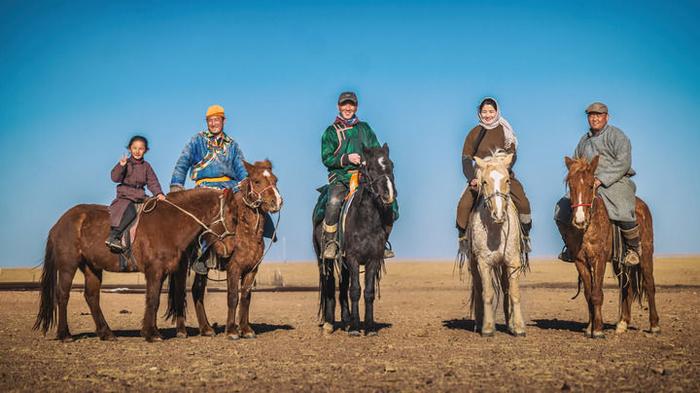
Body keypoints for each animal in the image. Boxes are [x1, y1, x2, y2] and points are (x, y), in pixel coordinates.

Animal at [32, 179, 241, 342]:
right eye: (233, 218)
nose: (231, 249)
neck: (170, 223)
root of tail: (60, 223)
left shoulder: (162, 272)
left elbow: (154, 299)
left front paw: (151, 331)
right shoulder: (154, 271)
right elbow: (153, 299)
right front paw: (151, 334)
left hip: (92, 267)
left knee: (91, 297)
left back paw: (106, 333)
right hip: (68, 266)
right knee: (62, 295)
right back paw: (64, 334)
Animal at [167, 160, 282, 340]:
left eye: (275, 180)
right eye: (257, 181)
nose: (276, 202)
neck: (245, 231)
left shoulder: (252, 269)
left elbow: (246, 297)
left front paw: (246, 330)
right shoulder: (234, 267)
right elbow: (233, 296)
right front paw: (232, 331)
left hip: (202, 268)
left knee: (197, 291)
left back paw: (206, 329)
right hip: (182, 265)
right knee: (180, 292)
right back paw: (181, 331)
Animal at [314, 142, 396, 336]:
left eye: (391, 165)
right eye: (370, 167)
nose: (389, 194)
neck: (365, 220)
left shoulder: (373, 259)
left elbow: (368, 292)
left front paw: (369, 327)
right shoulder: (352, 258)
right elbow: (356, 290)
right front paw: (356, 328)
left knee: (343, 286)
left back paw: (346, 320)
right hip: (325, 260)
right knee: (330, 285)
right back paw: (329, 323)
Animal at [560, 155, 660, 336]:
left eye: (591, 185)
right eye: (571, 186)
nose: (579, 220)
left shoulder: (599, 259)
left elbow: (597, 294)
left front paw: (598, 329)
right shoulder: (580, 261)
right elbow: (588, 294)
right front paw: (590, 327)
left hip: (646, 255)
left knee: (649, 284)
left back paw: (654, 325)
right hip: (619, 262)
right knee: (626, 288)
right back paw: (622, 323)